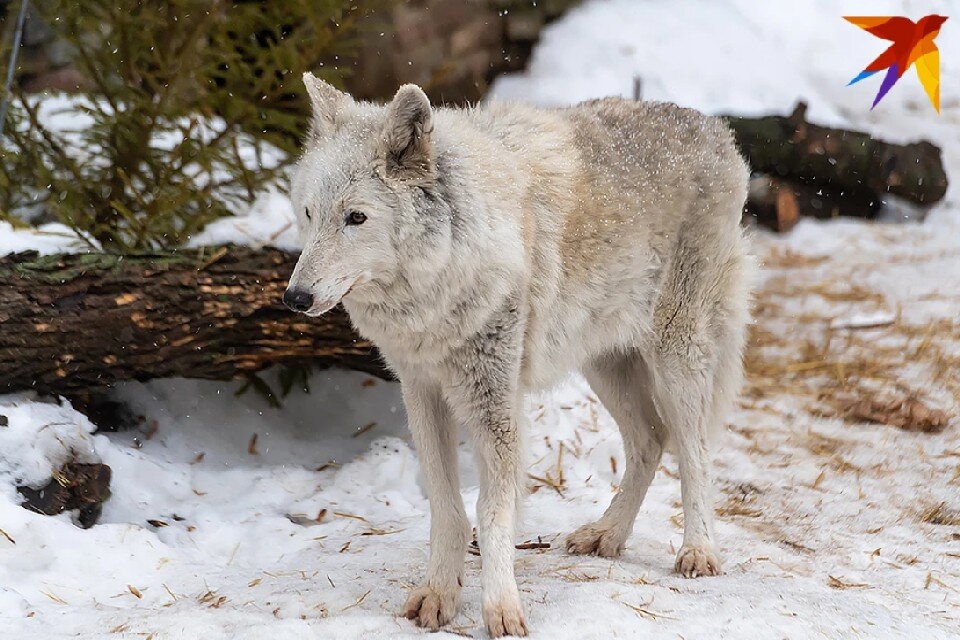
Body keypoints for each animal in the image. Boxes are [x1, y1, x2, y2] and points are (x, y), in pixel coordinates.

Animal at [284, 74, 756, 636]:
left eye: (356, 217)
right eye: (309, 213)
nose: (295, 297)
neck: (441, 280)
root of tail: (717, 130)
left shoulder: (495, 402)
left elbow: (491, 511)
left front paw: (502, 609)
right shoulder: (421, 390)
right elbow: (446, 507)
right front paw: (440, 595)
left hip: (675, 355)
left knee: (695, 451)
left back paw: (699, 552)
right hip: (604, 363)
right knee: (650, 441)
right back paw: (608, 534)